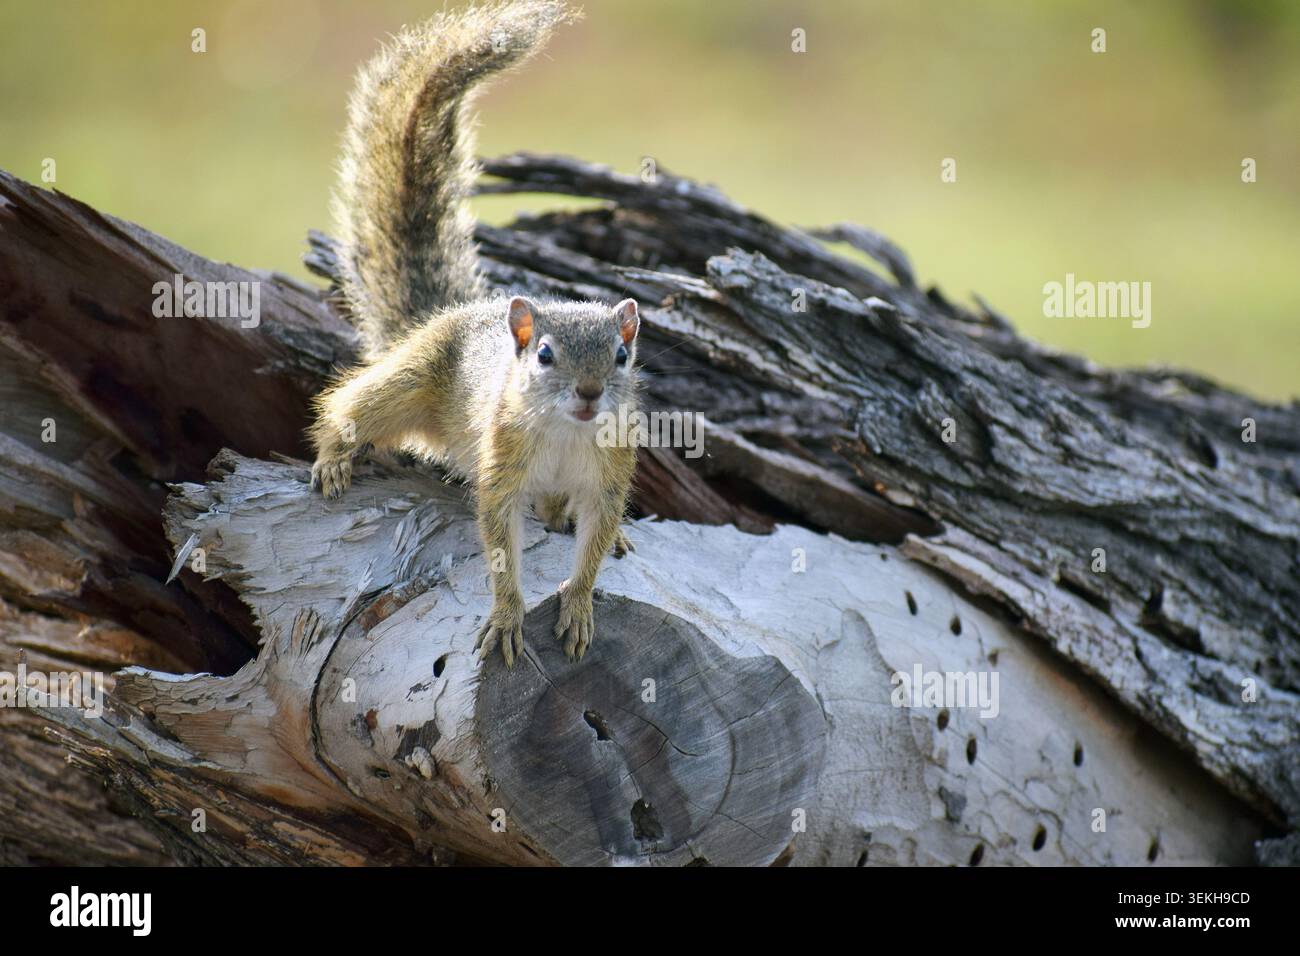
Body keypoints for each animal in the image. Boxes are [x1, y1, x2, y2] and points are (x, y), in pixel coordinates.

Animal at [308, 0, 639, 668]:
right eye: (545, 355)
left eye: (621, 356)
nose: (590, 393)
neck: (566, 432)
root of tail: (460, 311)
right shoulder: (502, 466)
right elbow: (499, 545)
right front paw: (509, 617)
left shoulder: (608, 477)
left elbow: (592, 545)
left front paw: (581, 603)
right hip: (409, 383)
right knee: (350, 403)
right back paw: (333, 457)